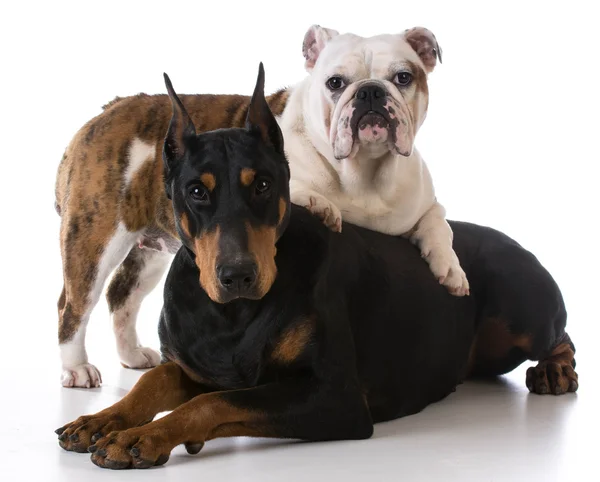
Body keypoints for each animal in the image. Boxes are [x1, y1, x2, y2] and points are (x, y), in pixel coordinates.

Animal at [56, 66, 576, 468]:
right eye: (196, 191)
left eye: (264, 184)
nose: (237, 275)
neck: (231, 314)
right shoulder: (195, 360)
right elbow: (158, 381)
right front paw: (101, 420)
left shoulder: (335, 397)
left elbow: (211, 401)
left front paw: (140, 436)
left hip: (520, 312)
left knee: (560, 333)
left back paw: (555, 371)